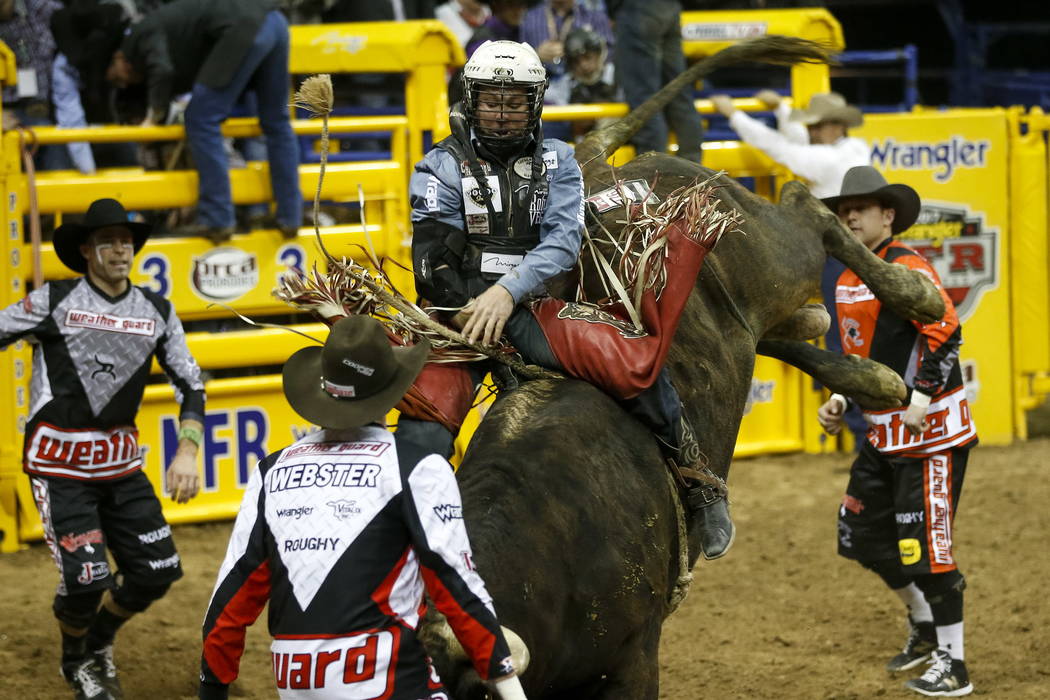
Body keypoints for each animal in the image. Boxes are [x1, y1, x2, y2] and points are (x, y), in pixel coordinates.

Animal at [415, 39, 944, 700]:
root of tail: (603, 168)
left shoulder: (636, 658)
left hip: (773, 254)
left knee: (806, 207)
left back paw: (917, 298)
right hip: (749, 310)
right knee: (785, 332)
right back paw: (871, 376)